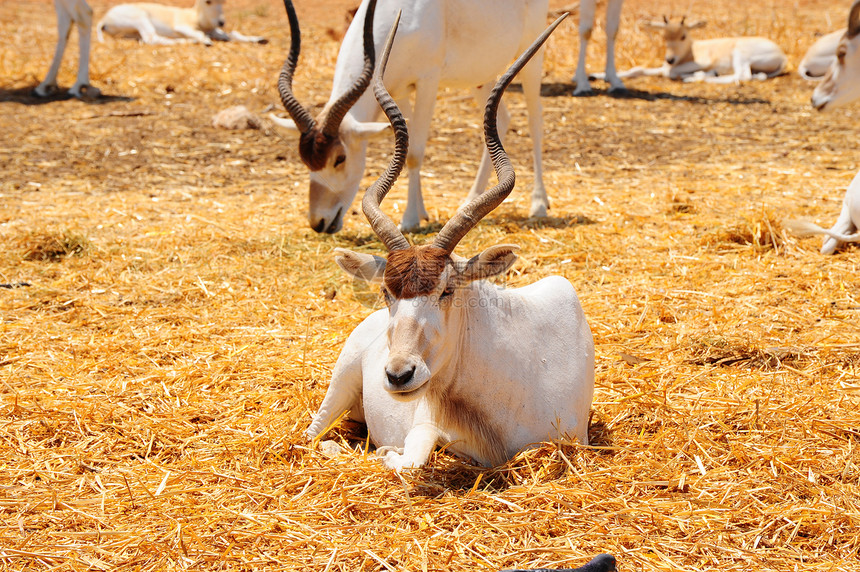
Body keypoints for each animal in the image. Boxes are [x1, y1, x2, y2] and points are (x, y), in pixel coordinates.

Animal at [96, 0, 266, 45]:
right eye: (208, 1)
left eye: (223, 2)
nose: (221, 22)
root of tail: (104, 19)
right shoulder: (182, 26)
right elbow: (201, 35)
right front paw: (206, 42)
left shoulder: (215, 31)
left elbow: (232, 34)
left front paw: (260, 39)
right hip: (140, 18)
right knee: (151, 39)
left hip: (131, 33)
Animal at [274, 0, 552, 235]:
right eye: (305, 160)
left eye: (340, 159)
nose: (319, 223)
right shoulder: (399, 90)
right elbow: (407, 151)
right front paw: (420, 212)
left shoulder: (428, 80)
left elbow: (416, 152)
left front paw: (409, 220)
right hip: (480, 76)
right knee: (502, 119)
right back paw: (470, 200)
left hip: (532, 57)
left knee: (535, 119)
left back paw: (538, 204)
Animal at [304, 14, 596, 470]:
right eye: (386, 292)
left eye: (447, 290)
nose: (399, 375)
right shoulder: (425, 422)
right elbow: (410, 457)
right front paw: (384, 450)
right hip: (341, 380)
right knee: (311, 434)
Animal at [604, 15, 788, 83]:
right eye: (664, 36)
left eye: (683, 36)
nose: (669, 59)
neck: (689, 51)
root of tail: (782, 55)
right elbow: (638, 69)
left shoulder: (704, 61)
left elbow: (669, 72)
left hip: (740, 55)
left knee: (743, 75)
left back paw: (701, 77)